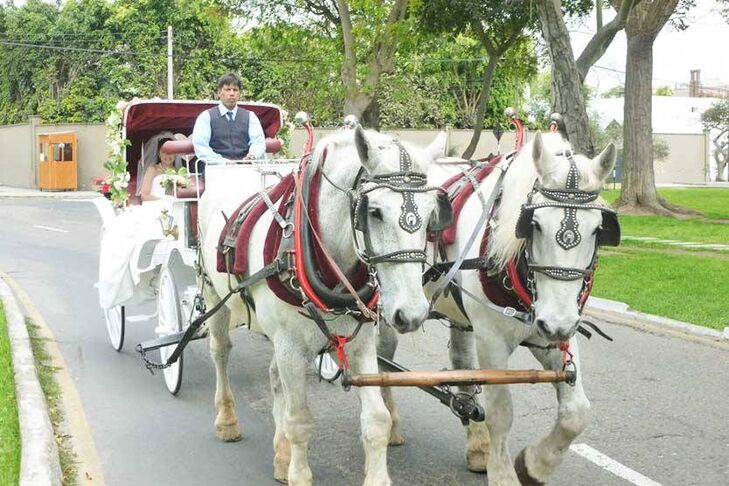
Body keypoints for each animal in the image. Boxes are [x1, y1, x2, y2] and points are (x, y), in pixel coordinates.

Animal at [198, 127, 444, 484]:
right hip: (215, 296)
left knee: (274, 377)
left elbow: (377, 420)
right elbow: (299, 420)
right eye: (374, 211)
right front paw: (299, 474)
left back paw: (281, 453)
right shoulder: (290, 346)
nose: (410, 314)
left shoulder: (361, 344)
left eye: (430, 216)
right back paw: (227, 420)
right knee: (220, 351)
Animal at [378, 131, 616, 484]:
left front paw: (534, 465)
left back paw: (477, 443)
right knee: (382, 357)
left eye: (598, 229)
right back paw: (392, 422)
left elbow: (576, 413)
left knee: (462, 363)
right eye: (535, 224)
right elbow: (501, 412)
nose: (557, 323)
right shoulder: (492, 339)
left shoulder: (552, 334)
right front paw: (504, 473)